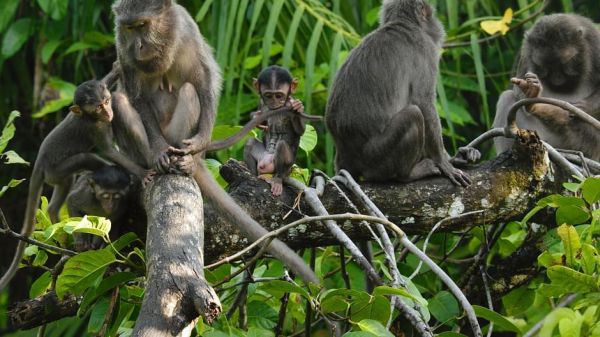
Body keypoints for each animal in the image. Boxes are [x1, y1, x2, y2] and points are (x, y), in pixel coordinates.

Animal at [0, 69, 154, 290]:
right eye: (98, 107)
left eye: (107, 101)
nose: (108, 112)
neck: (92, 118)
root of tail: (39, 161)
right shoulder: (94, 129)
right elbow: (108, 151)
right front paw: (140, 173)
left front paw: (116, 70)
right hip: (55, 170)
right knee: (84, 159)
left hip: (54, 174)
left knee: (65, 185)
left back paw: (55, 216)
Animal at [243, 65, 322, 196]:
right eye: (269, 96)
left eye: (279, 96)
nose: (274, 102)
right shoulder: (262, 102)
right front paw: (256, 119)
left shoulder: (290, 103)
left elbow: (300, 130)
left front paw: (298, 107)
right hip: (262, 158)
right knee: (250, 142)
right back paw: (253, 174)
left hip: (286, 166)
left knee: (281, 146)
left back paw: (277, 180)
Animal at [324, 0, 474, 185]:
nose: (437, 23)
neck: (404, 24)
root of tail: (345, 155)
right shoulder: (426, 50)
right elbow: (423, 101)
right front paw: (444, 162)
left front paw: (453, 158)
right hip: (377, 156)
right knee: (413, 114)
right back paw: (409, 174)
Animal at [492, 13, 600, 160]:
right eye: (546, 67)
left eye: (563, 65)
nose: (557, 78)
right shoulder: (526, 52)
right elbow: (518, 92)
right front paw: (531, 92)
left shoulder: (596, 44)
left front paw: (577, 109)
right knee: (507, 97)